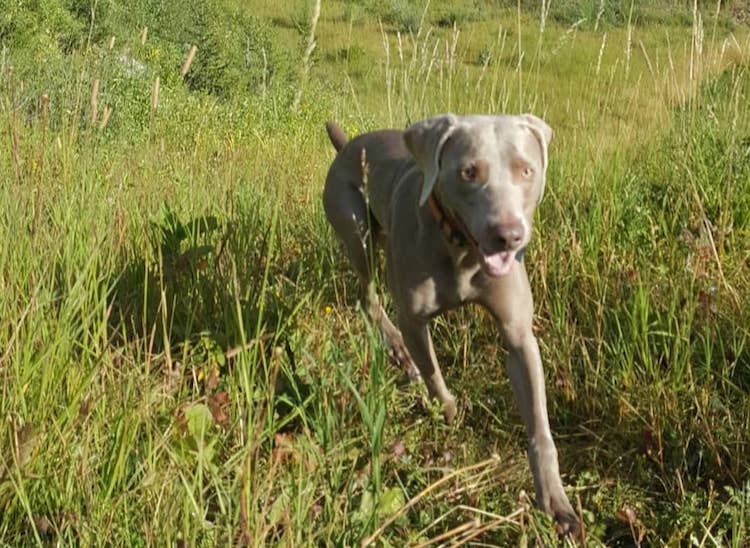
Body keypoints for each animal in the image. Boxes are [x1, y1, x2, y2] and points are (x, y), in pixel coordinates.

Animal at [324, 112, 580, 536]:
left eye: (526, 170)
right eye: (469, 172)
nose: (508, 236)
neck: (461, 249)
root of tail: (347, 146)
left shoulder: (519, 336)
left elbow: (540, 425)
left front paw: (557, 504)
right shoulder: (413, 318)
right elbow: (431, 371)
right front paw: (448, 412)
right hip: (355, 227)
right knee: (367, 296)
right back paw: (397, 351)